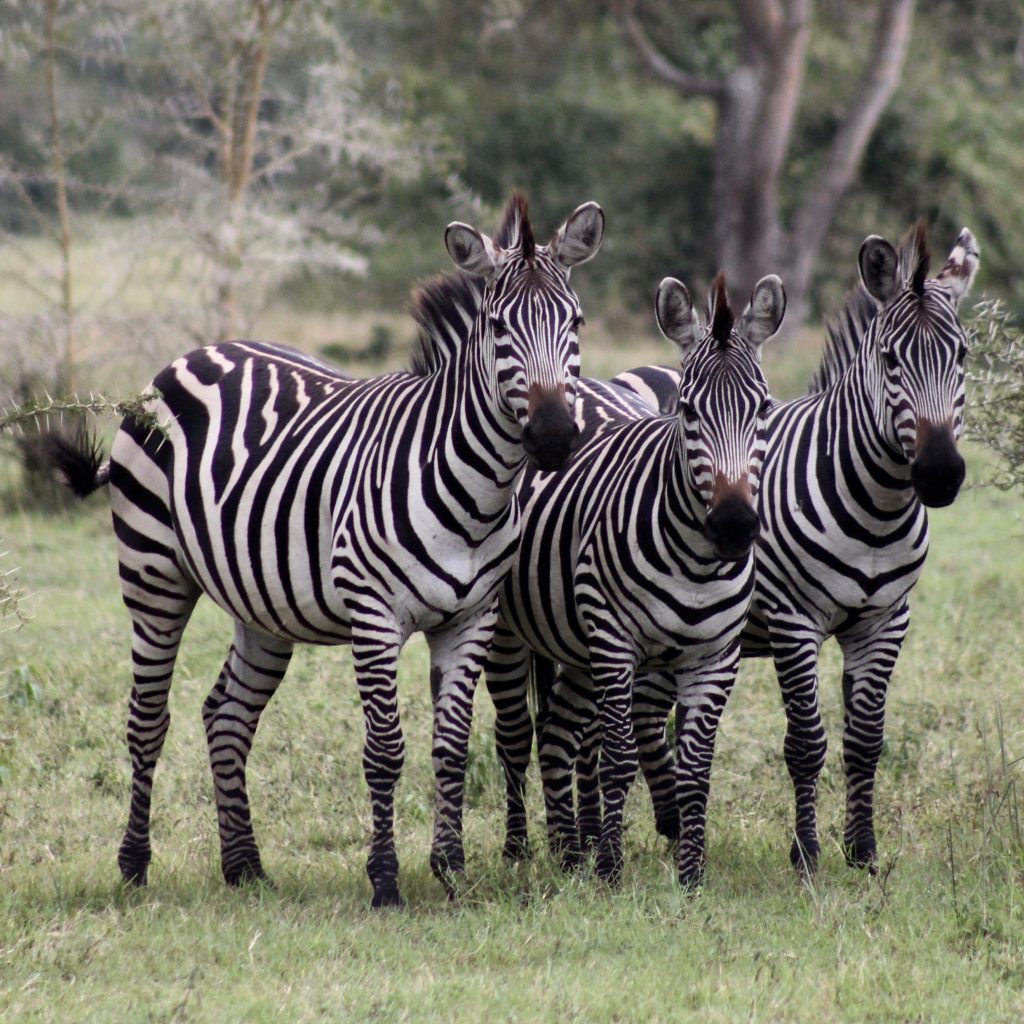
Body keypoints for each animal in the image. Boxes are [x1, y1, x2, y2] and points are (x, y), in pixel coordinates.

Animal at [48, 192, 602, 905]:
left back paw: (244, 866)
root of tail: (194, 355)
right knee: (149, 718)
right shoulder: (374, 614)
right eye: (498, 327)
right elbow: (386, 749)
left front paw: (451, 870)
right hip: (154, 575)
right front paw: (386, 880)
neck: (474, 490)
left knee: (226, 716)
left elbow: (451, 746)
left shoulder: (472, 618)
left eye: (576, 322)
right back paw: (135, 864)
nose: (557, 437)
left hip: (260, 601)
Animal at [483, 272, 786, 888]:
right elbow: (620, 760)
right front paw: (611, 870)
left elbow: (695, 768)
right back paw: (523, 850)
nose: (734, 525)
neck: (697, 564)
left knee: (557, 737)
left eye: (763, 408)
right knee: (516, 737)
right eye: (688, 412)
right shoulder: (616, 643)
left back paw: (567, 854)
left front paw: (691, 876)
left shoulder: (715, 657)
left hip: (576, 646)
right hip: (515, 635)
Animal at [577, 220, 974, 876]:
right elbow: (807, 742)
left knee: (647, 714)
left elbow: (866, 740)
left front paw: (862, 849)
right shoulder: (794, 620)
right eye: (890, 359)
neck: (877, 507)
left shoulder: (886, 620)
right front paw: (807, 853)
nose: (940, 474)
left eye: (963, 356)